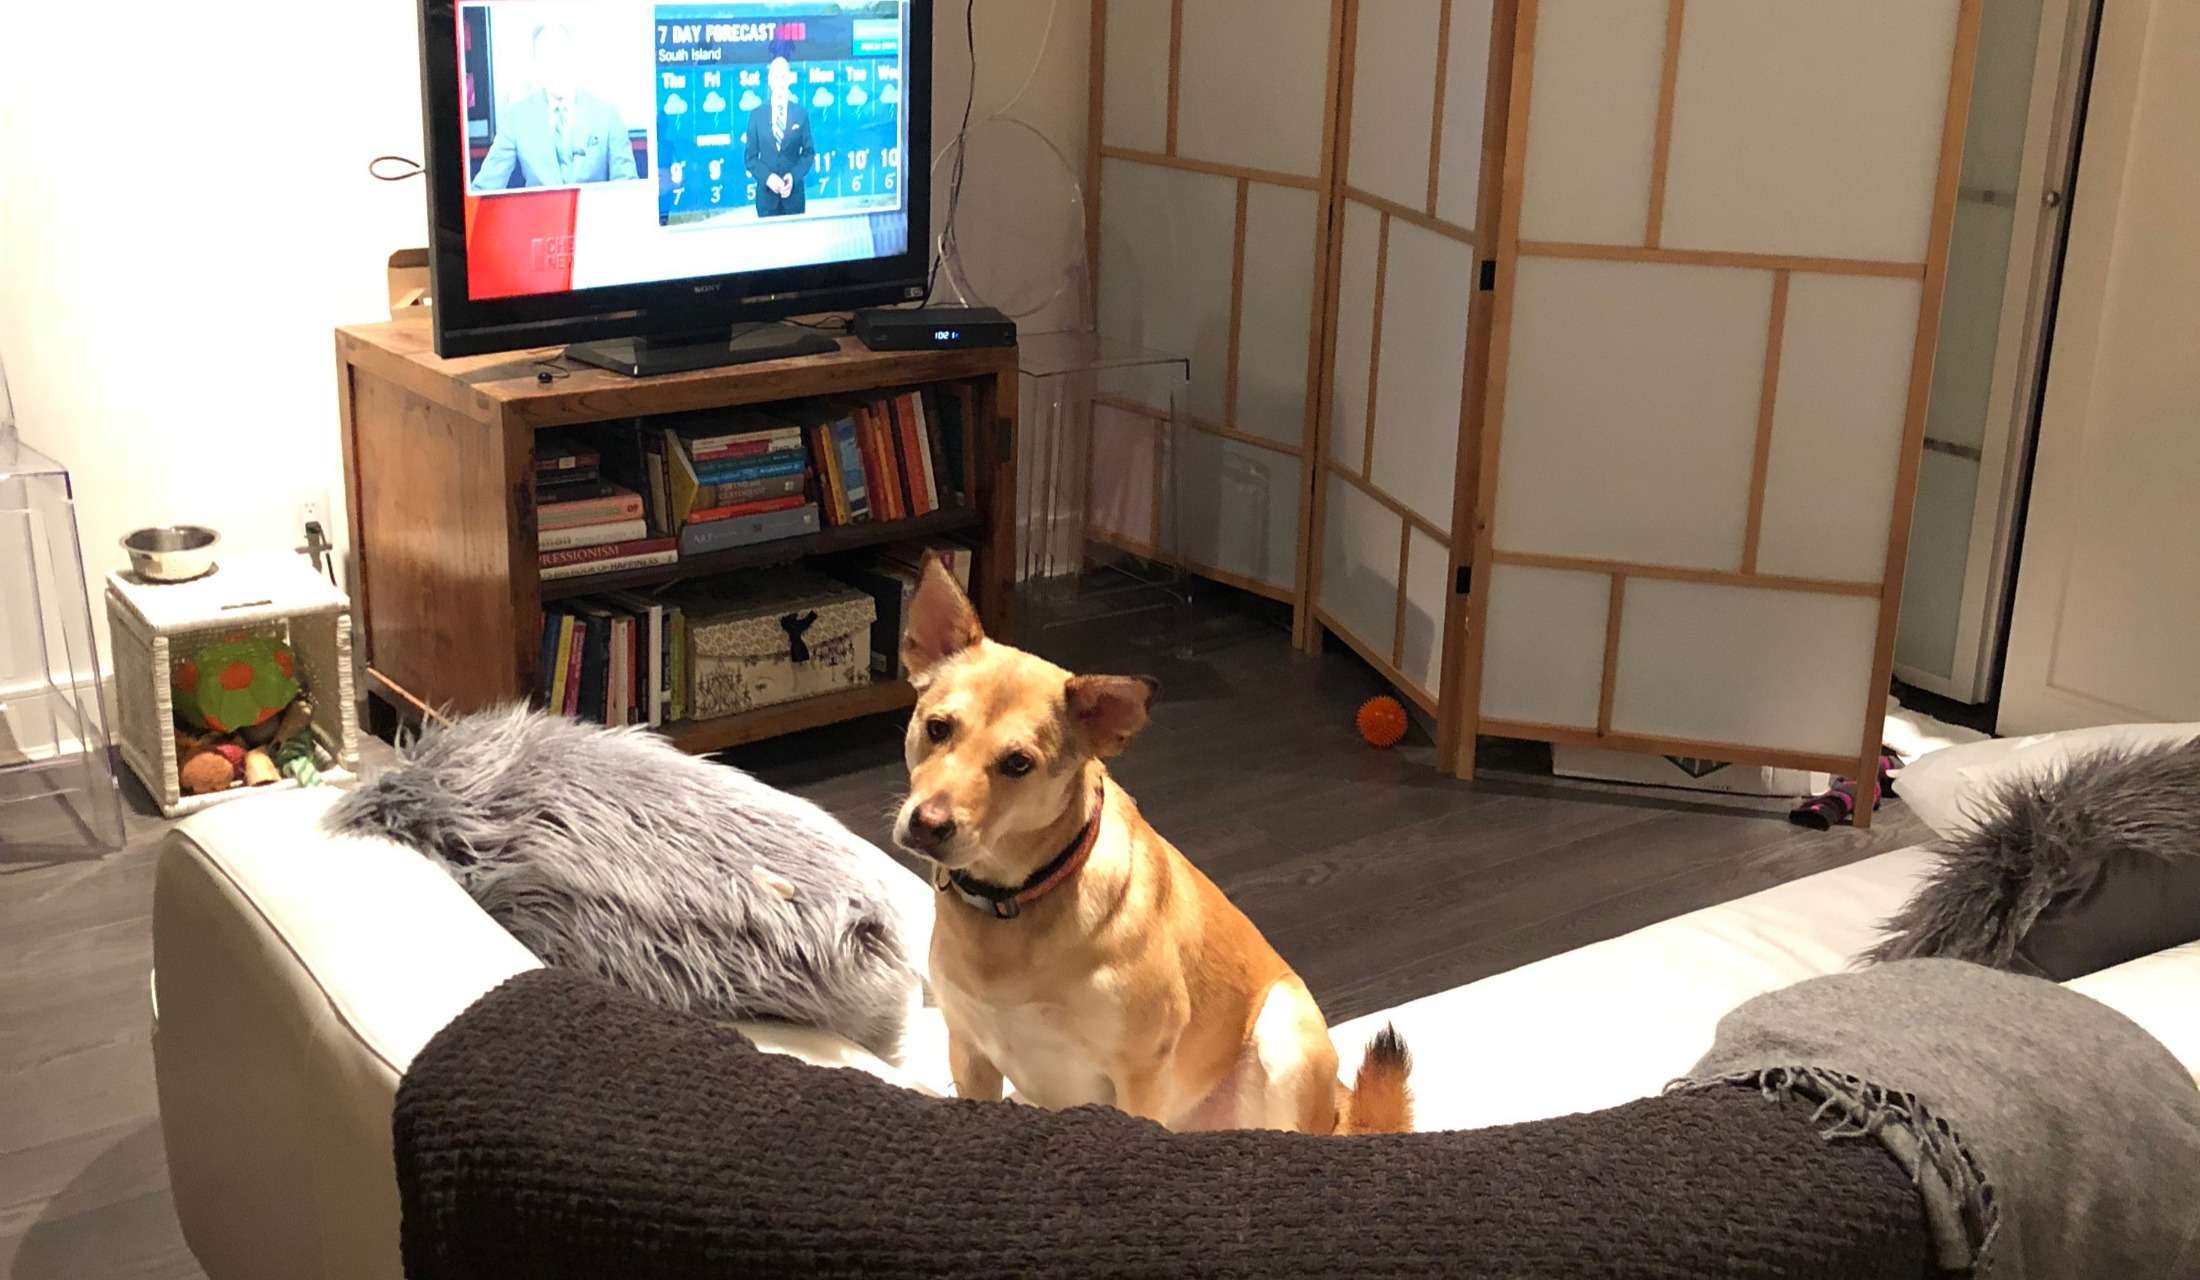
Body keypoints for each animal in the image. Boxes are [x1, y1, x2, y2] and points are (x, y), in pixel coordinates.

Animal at [892, 556, 1410, 1134]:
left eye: (1018, 763)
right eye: (938, 728)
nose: (928, 824)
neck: (1020, 898)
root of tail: (1340, 1107)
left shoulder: (1139, 1073)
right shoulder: (969, 1053)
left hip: (1284, 1038)